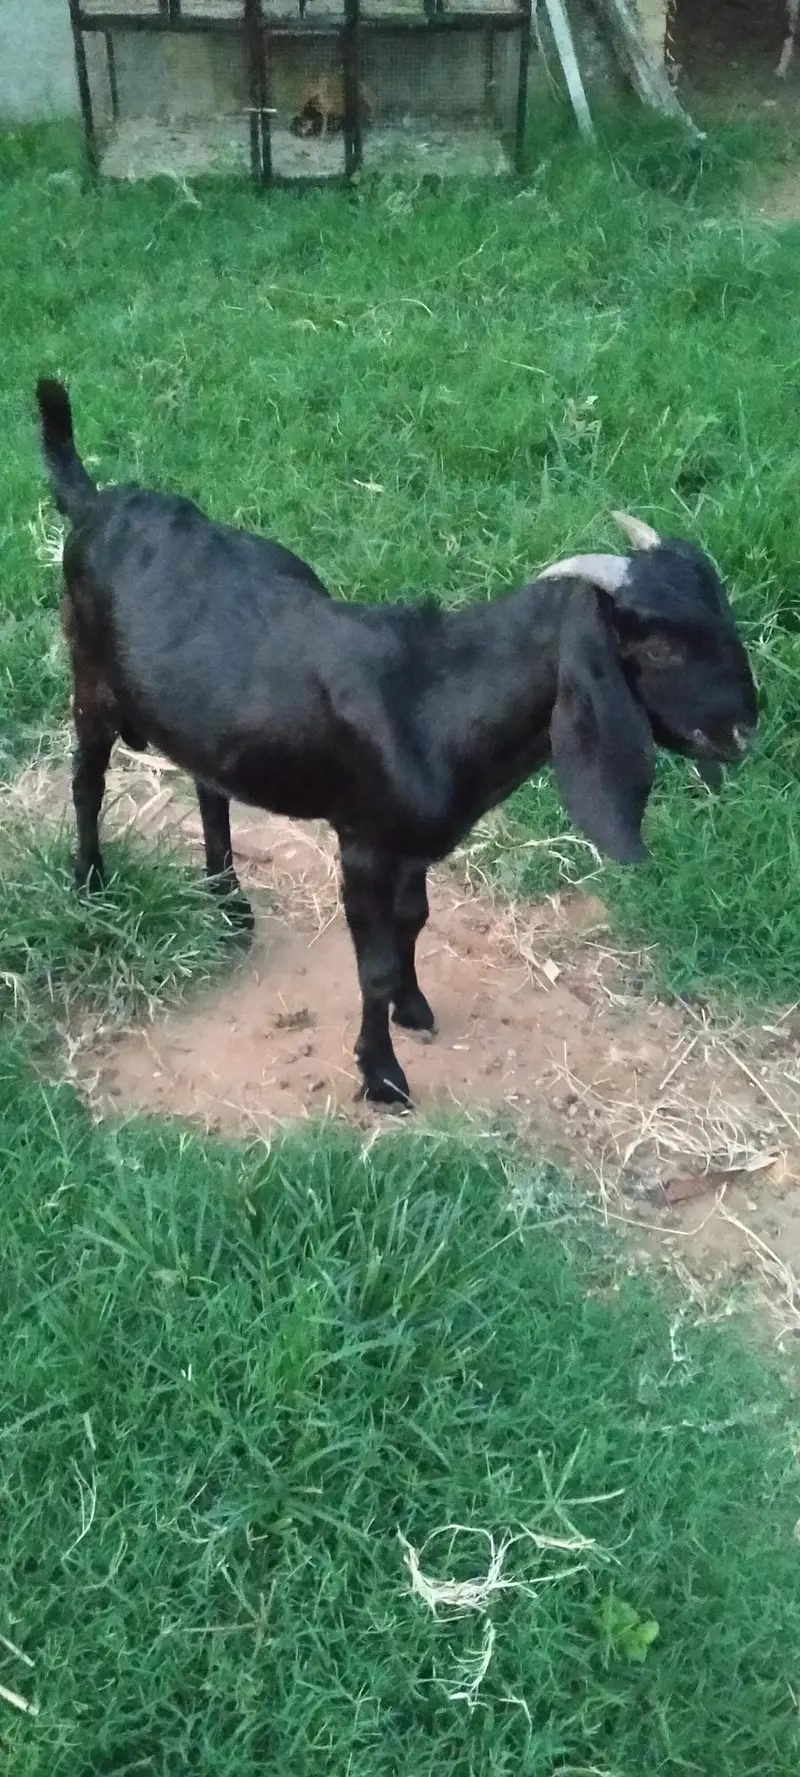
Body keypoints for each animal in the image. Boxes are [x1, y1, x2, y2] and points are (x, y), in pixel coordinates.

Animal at [36, 377, 757, 1108]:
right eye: (659, 647)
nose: (742, 729)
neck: (433, 696)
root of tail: (97, 503)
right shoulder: (364, 842)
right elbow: (375, 964)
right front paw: (381, 1074)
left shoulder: (418, 845)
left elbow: (415, 918)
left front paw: (413, 1008)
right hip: (90, 679)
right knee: (87, 779)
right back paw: (91, 884)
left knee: (211, 787)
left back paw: (231, 904)